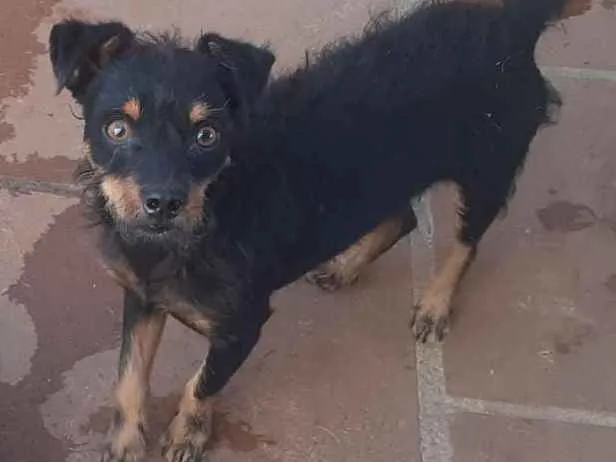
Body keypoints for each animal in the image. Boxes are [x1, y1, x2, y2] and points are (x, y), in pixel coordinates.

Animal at [50, 0, 572, 460]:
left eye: (207, 135)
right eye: (117, 129)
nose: (162, 204)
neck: (208, 217)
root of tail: (510, 24)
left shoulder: (242, 327)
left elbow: (201, 382)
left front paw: (187, 435)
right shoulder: (141, 297)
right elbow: (129, 377)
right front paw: (125, 443)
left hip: (490, 167)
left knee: (467, 241)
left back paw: (435, 304)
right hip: (381, 178)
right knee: (403, 217)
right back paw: (347, 267)